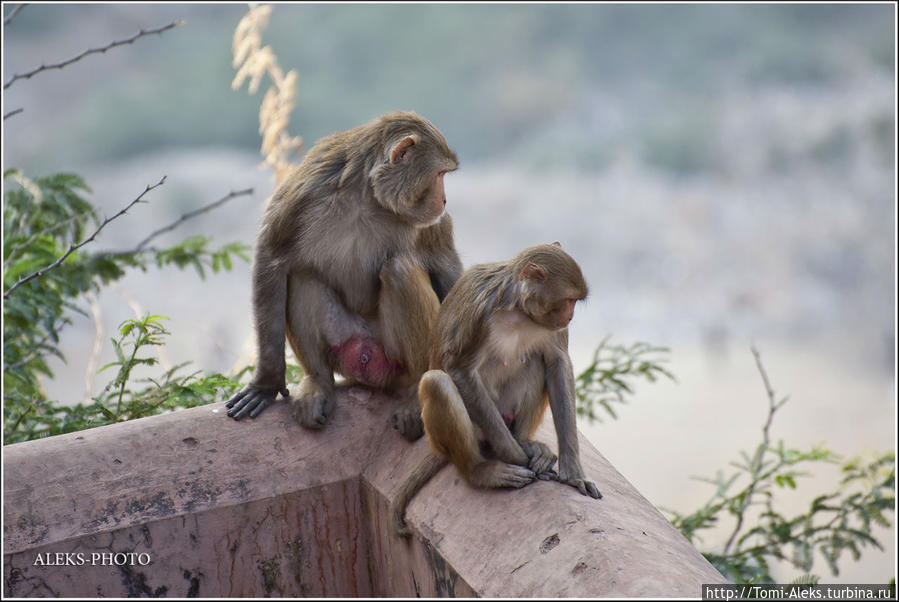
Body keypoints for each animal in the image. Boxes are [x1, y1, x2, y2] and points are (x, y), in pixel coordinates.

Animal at [225, 110, 464, 438]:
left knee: (399, 269)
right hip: (346, 348)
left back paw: (416, 390)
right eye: (440, 174)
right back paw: (318, 383)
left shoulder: (431, 223)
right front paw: (267, 384)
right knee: (302, 275)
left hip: (395, 361)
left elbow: (446, 267)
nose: (444, 201)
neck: (368, 196)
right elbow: (272, 259)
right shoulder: (307, 190)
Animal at [390, 243, 600, 536]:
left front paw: (573, 472)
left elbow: (557, 363)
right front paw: (516, 456)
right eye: (569, 300)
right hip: (478, 428)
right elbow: (459, 370)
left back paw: (525, 441)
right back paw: (480, 470)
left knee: (535, 361)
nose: (570, 316)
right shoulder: (480, 314)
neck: (519, 309)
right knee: (438, 382)